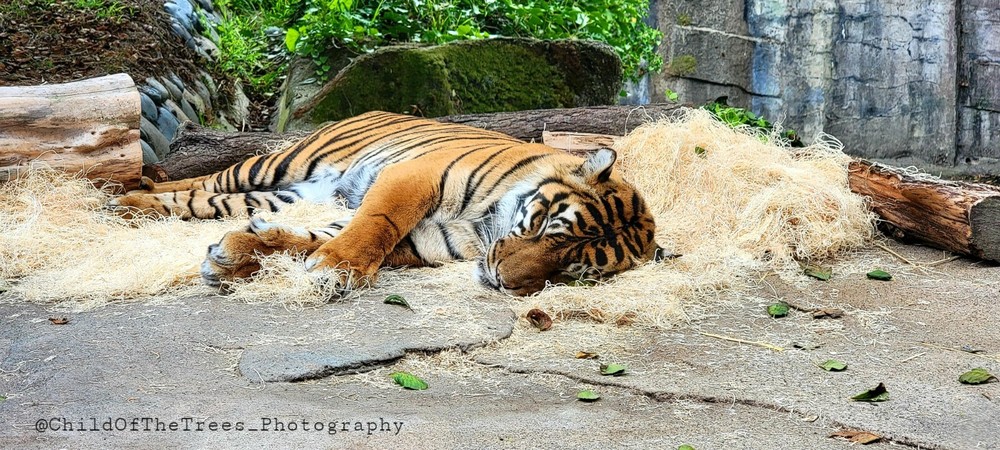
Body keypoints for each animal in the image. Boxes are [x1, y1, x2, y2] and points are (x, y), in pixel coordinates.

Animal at [109, 111, 665, 296]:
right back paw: (123, 198)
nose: (504, 282)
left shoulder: (419, 244)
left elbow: (311, 237)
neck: (484, 228)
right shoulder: (412, 178)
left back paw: (132, 206)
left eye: (573, 269)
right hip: (278, 164)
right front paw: (338, 267)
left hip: (285, 191)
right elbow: (375, 224)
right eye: (551, 227)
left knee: (203, 199)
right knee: (206, 177)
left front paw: (235, 258)